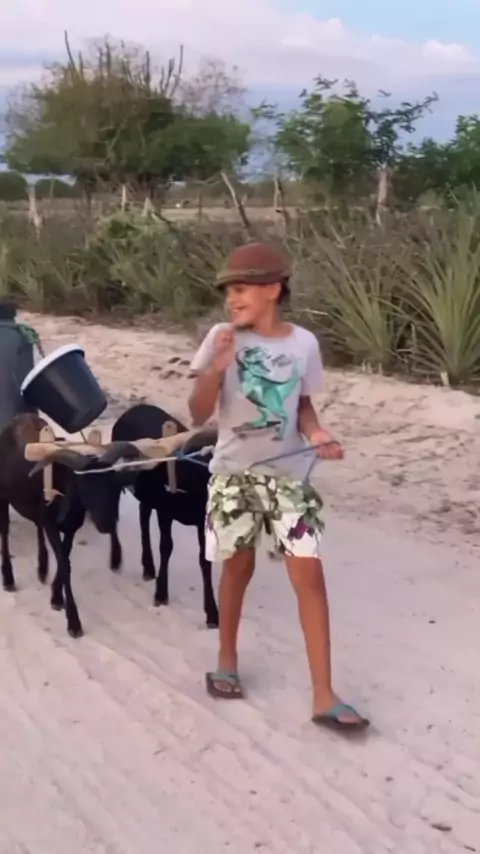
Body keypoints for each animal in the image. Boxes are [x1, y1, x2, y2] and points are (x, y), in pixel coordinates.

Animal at [0, 413, 138, 638]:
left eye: (114, 486)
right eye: (84, 486)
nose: (107, 524)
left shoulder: (71, 527)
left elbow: (64, 557)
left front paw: (56, 596)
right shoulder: (51, 525)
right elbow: (65, 564)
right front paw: (73, 622)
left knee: (36, 527)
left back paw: (42, 568)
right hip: (3, 497)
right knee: (4, 533)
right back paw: (9, 579)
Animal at [109, 404, 219, 629]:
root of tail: (136, 408)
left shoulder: (201, 522)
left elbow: (204, 560)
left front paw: (212, 613)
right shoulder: (165, 512)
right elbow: (166, 547)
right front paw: (161, 594)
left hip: (146, 493)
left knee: (143, 517)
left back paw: (148, 567)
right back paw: (116, 558)